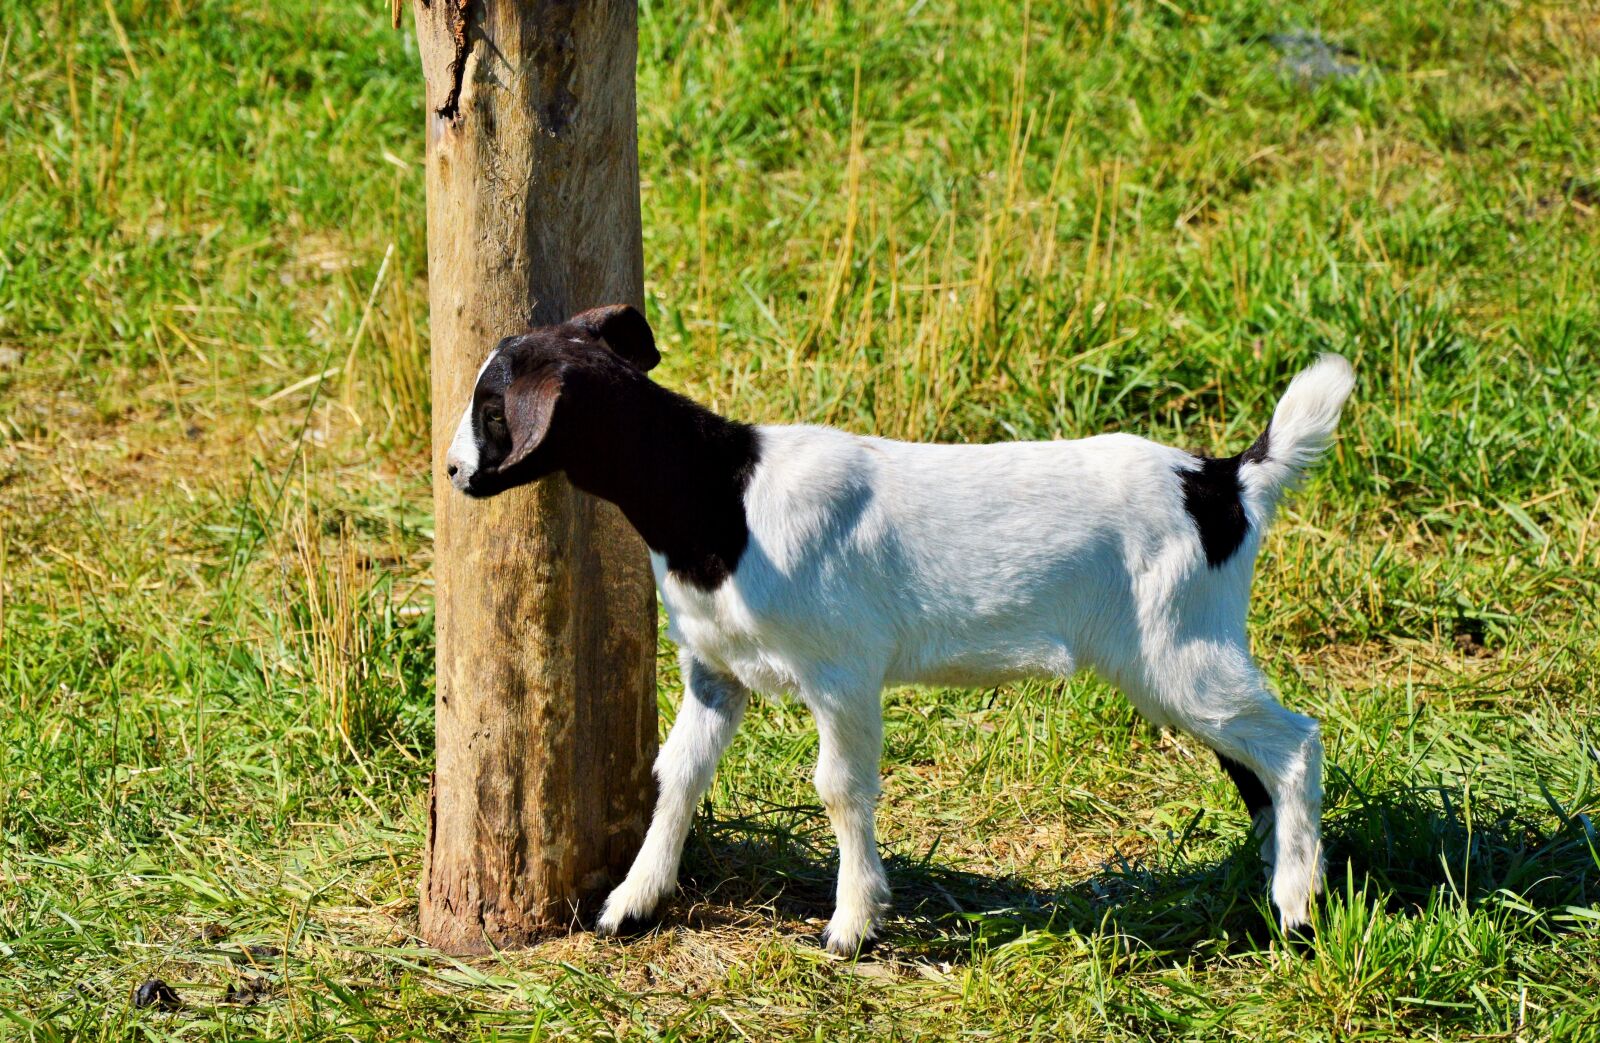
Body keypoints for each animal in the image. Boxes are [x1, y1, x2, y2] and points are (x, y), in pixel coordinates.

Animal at [445, 304, 1356, 955]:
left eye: (493, 408)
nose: (454, 471)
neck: (717, 496)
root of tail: (1225, 483)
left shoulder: (841, 670)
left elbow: (841, 787)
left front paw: (851, 927)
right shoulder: (717, 671)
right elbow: (678, 772)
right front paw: (630, 904)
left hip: (1181, 648)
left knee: (1294, 742)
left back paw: (1298, 909)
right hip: (1184, 653)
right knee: (1253, 764)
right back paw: (1277, 881)